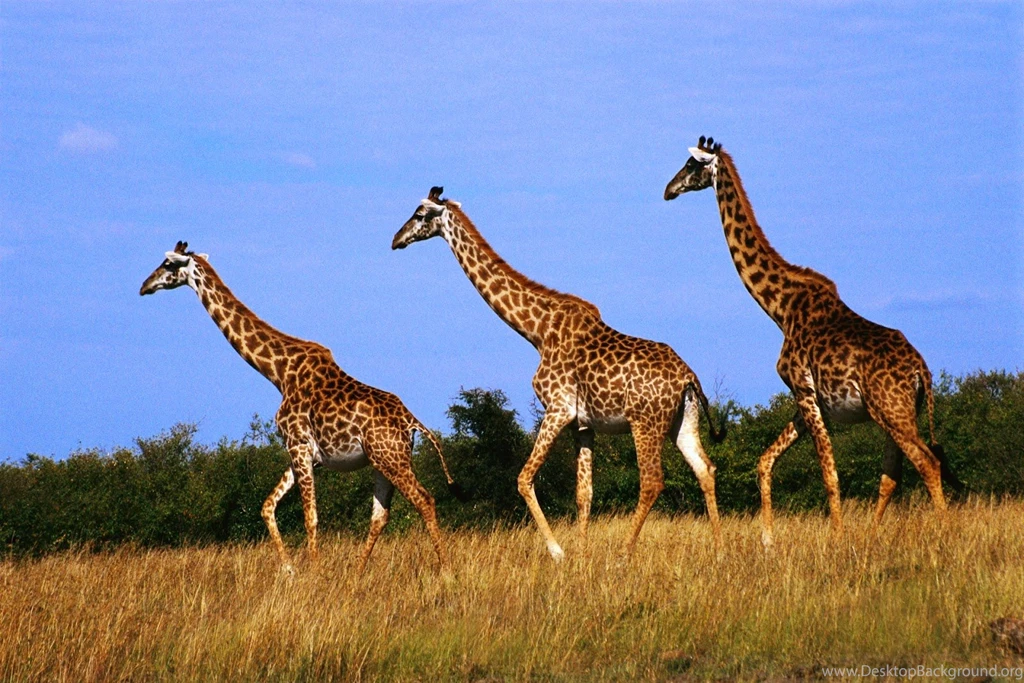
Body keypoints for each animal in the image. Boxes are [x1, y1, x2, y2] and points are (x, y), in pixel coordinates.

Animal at [140, 241, 463, 572]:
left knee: (425, 500)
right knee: (380, 514)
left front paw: (313, 570)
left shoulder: (298, 447)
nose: (144, 286)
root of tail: (412, 421)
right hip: (381, 461)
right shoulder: (303, 453)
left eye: (167, 264)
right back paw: (358, 571)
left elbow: (310, 516)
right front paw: (289, 568)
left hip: (392, 459)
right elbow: (267, 506)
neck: (278, 373)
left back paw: (445, 569)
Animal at [392, 187, 725, 562]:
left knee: (653, 480)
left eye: (420, 214)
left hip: (646, 422)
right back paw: (720, 550)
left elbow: (523, 479)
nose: (396, 240)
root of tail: (688, 376)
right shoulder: (582, 424)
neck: (537, 330)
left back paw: (624, 554)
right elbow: (584, 493)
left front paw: (558, 552)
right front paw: (580, 555)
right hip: (682, 420)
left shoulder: (558, 408)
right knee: (705, 469)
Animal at [664, 137, 963, 545]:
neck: (782, 308)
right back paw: (872, 536)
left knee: (927, 462)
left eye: (692, 165)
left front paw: (836, 538)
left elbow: (828, 471)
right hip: (897, 412)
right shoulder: (805, 398)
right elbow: (765, 460)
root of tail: (923, 371)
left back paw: (946, 534)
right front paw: (768, 540)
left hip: (892, 410)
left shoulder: (804, 390)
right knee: (892, 474)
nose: (668, 189)